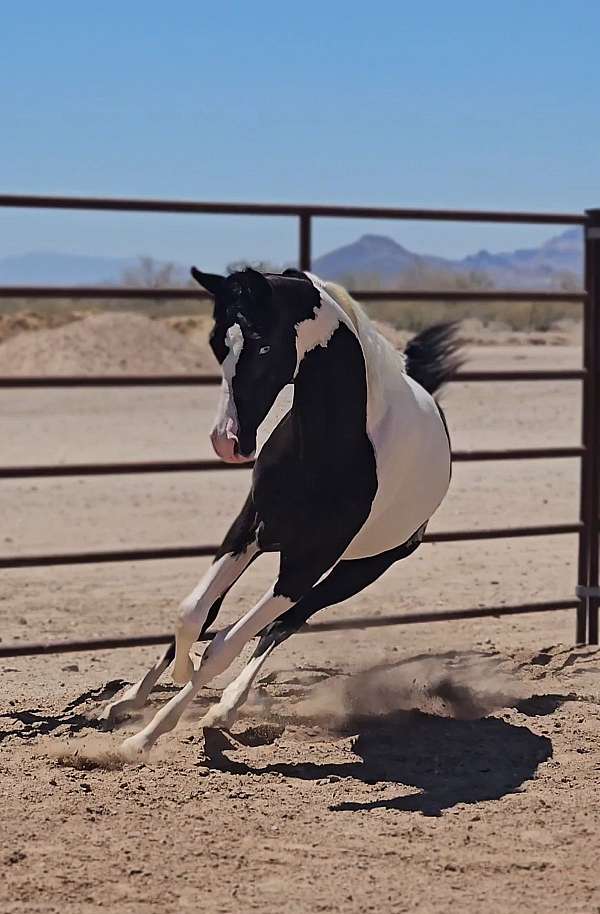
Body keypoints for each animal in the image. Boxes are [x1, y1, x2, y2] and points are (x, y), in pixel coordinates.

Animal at [101, 266, 462, 756]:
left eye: (265, 346)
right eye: (217, 343)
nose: (227, 442)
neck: (331, 448)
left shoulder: (305, 564)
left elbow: (225, 646)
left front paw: (144, 738)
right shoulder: (248, 528)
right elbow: (192, 613)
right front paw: (162, 684)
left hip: (358, 570)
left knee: (285, 624)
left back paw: (224, 710)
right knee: (227, 617)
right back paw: (131, 701)